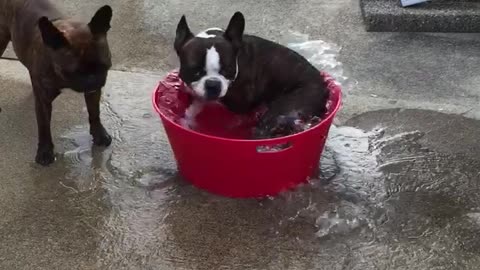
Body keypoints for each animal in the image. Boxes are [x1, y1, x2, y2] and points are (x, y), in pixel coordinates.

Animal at [0, 0, 113, 165]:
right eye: (73, 72)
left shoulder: (93, 92)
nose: (92, 79)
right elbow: (44, 126)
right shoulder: (43, 101)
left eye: (105, 66)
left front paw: (99, 134)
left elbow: (94, 112)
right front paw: (45, 151)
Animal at [174, 11, 328, 138]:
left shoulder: (238, 103)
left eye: (228, 70)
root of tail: (323, 87)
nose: (213, 84)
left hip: (284, 109)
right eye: (195, 71)